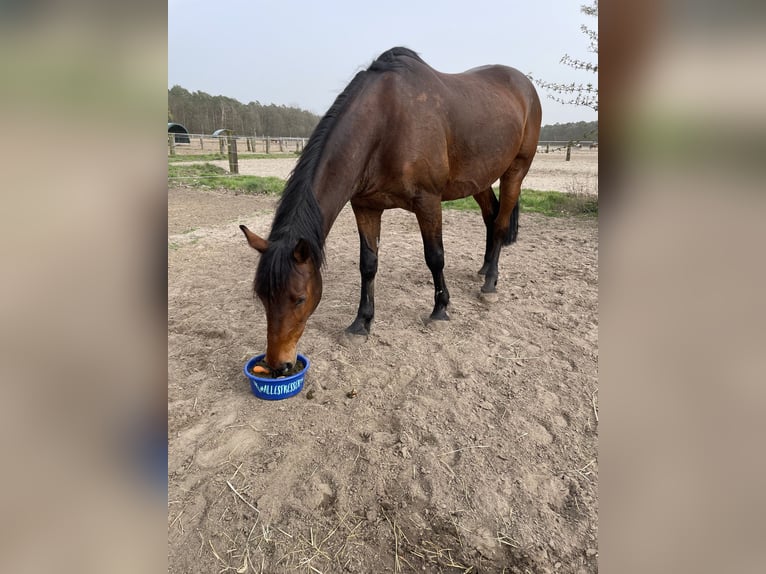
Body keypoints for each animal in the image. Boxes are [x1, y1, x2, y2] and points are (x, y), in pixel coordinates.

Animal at [243, 47, 544, 376]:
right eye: (262, 297)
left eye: (299, 299)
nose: (278, 366)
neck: (386, 122)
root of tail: (524, 85)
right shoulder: (366, 206)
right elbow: (368, 264)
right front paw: (361, 323)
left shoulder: (428, 202)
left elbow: (435, 257)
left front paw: (440, 311)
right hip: (480, 178)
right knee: (490, 219)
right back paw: (484, 268)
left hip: (515, 171)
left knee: (500, 223)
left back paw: (490, 284)